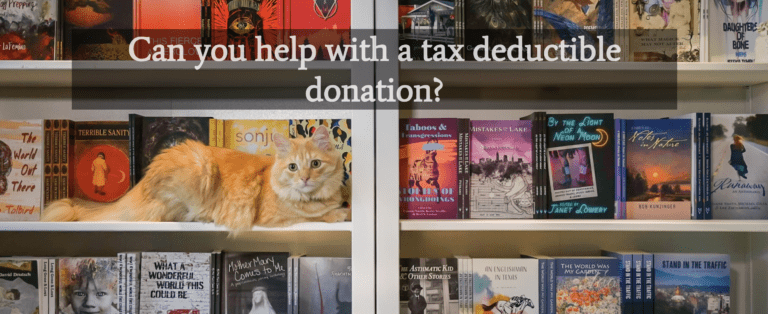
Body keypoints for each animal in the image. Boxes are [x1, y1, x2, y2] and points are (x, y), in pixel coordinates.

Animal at [43, 126, 350, 232]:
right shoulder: (274, 216)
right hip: (200, 167)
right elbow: (311, 215)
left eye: (315, 164)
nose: (305, 179)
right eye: (293, 167)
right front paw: (336, 214)